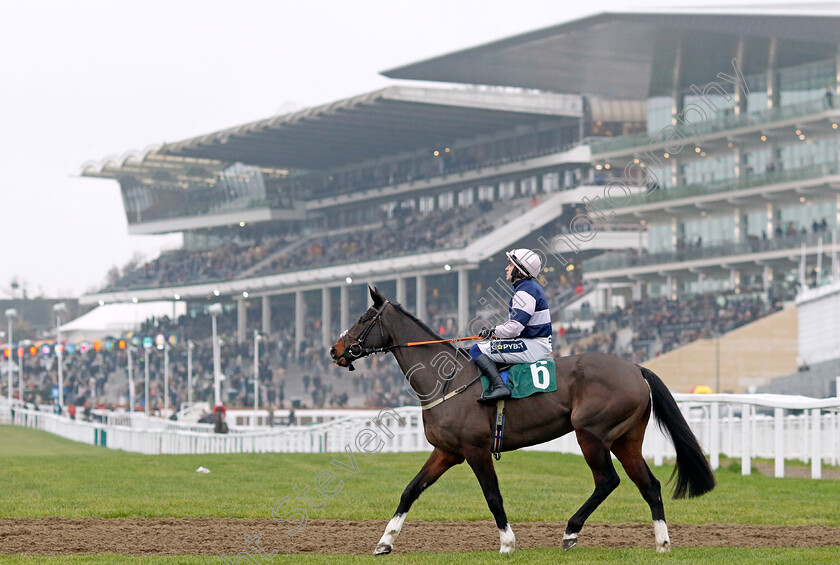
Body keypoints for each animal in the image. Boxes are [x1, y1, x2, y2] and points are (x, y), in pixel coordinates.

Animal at [330, 288, 716, 552]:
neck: (448, 379)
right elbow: (411, 490)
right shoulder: (446, 452)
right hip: (626, 439)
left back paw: (571, 531)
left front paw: (507, 542)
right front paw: (385, 541)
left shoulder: (475, 450)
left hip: (591, 434)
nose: (335, 350)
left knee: (607, 480)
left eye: (363, 319)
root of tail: (635, 367)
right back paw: (661, 543)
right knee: (649, 484)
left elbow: (492, 496)